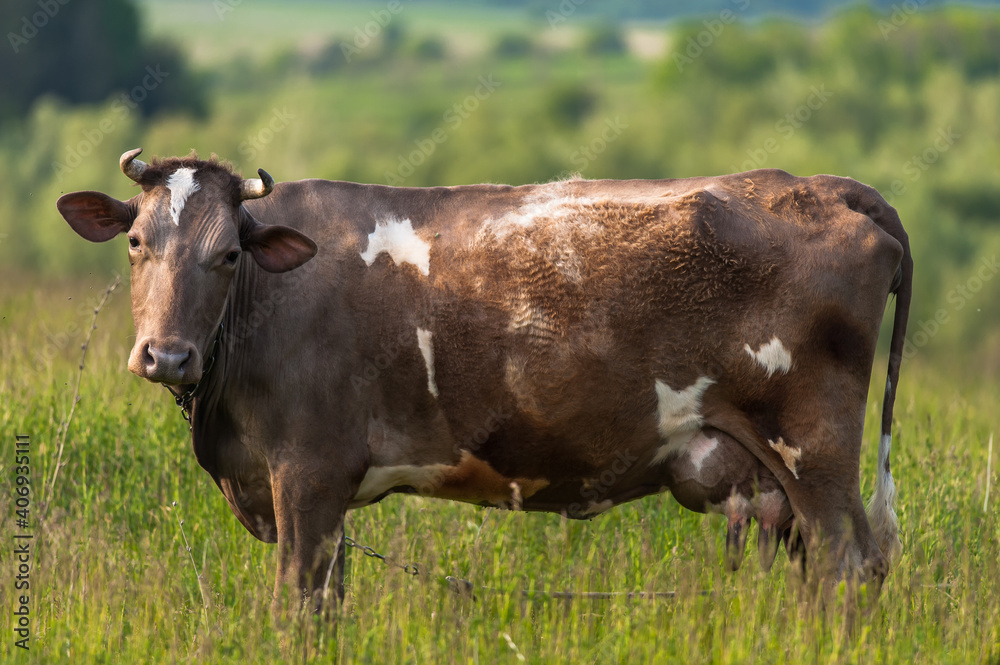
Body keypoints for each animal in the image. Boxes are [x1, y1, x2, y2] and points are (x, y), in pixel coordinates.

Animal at [58, 149, 912, 612]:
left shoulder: (306, 473)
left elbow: (295, 604)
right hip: (778, 482)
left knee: (849, 569)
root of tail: (821, 183)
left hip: (814, 452)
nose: (166, 356)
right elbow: (329, 604)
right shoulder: (329, 495)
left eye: (229, 253)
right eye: (136, 241)